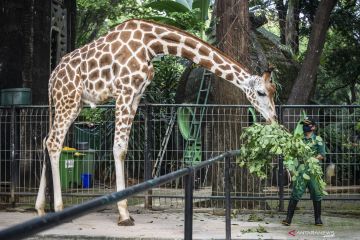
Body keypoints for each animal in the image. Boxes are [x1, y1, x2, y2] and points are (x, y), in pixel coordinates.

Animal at [35, 18, 278, 225]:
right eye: (261, 92)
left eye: (274, 91)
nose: (273, 119)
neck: (152, 44)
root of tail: (51, 78)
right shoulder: (125, 91)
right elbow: (119, 148)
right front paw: (124, 215)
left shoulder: (136, 95)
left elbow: (123, 148)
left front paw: (124, 212)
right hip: (68, 100)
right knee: (54, 142)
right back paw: (58, 209)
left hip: (71, 104)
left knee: (47, 140)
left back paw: (41, 208)